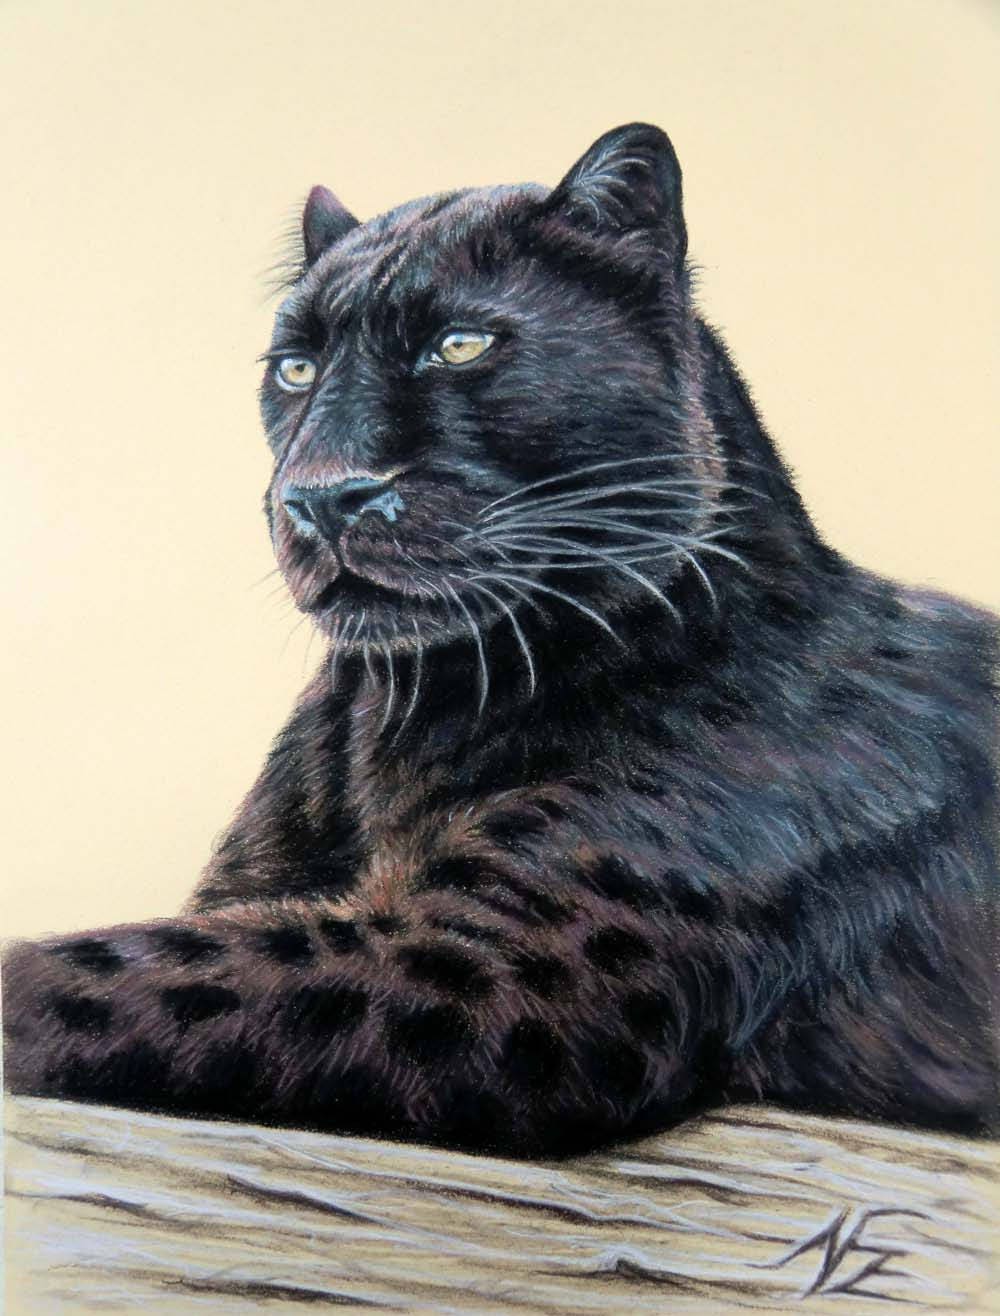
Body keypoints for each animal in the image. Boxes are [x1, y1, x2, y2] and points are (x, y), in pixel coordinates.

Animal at [3, 123, 998, 1157]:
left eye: (459, 346)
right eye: (296, 367)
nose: (322, 495)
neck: (401, 714)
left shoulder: (499, 958)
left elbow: (133, 972)